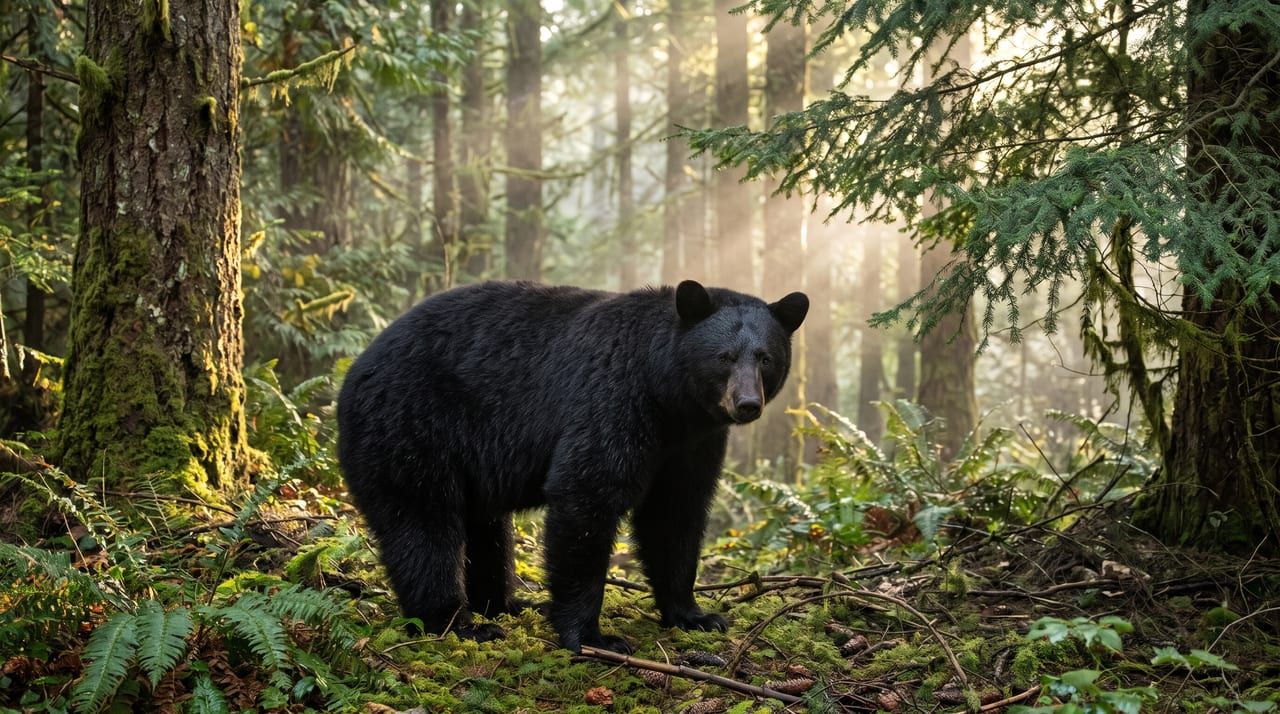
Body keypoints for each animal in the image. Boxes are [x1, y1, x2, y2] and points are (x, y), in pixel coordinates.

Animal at [336, 279, 807, 653]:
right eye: (724, 356)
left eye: (765, 358)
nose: (746, 404)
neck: (669, 399)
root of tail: (355, 371)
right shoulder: (612, 399)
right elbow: (587, 494)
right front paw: (593, 636)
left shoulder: (692, 442)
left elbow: (675, 515)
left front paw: (694, 615)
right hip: (411, 426)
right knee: (422, 524)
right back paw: (456, 623)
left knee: (486, 529)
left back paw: (505, 605)